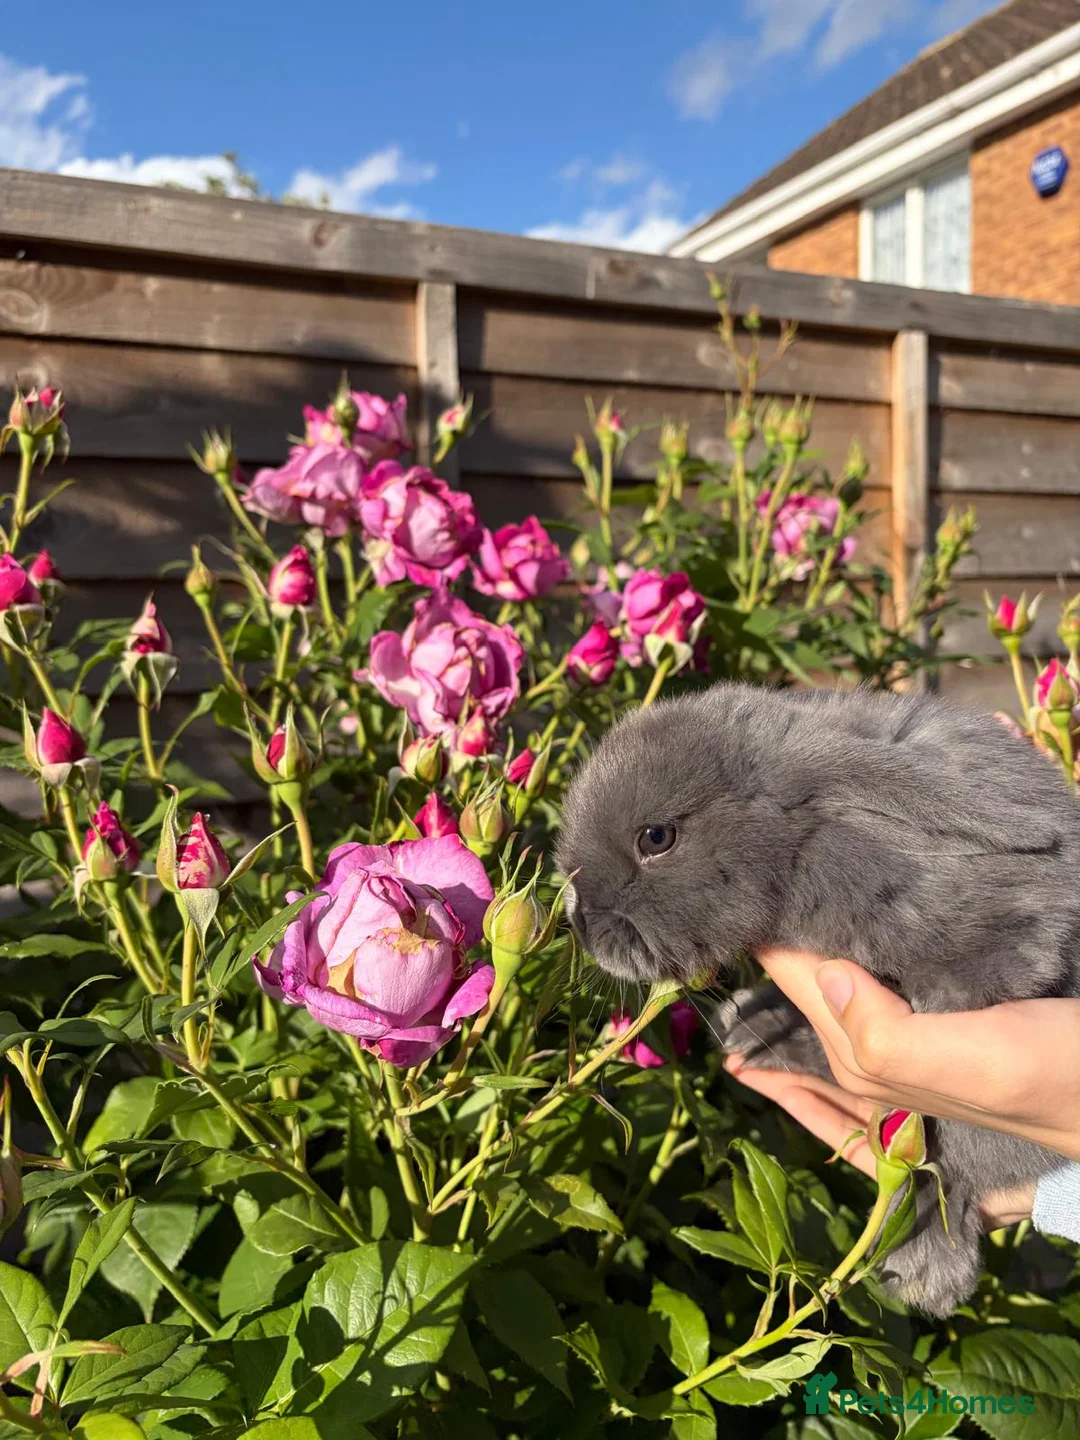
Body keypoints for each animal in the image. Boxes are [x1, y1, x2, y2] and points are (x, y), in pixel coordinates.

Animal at [556, 682, 1080, 1317]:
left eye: (656, 838)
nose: (582, 925)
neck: (802, 837)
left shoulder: (1010, 929)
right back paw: (751, 1030)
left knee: (951, 1170)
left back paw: (924, 1265)